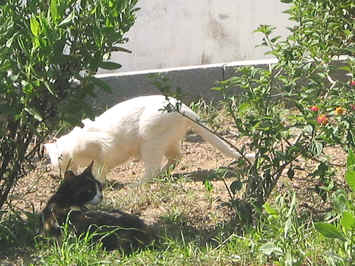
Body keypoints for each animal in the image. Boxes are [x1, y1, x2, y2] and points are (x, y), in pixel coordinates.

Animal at [44, 94, 253, 184]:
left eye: (59, 160)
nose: (59, 172)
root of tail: (184, 108)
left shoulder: (106, 149)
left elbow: (99, 169)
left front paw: (97, 182)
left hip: (150, 142)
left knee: (152, 169)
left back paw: (138, 183)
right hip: (167, 142)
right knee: (177, 158)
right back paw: (163, 174)